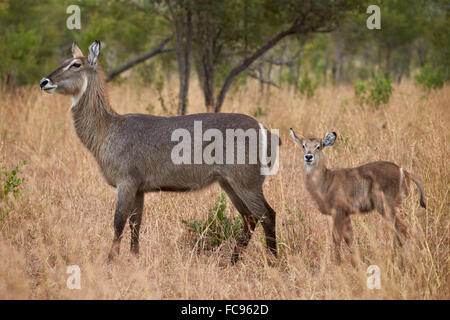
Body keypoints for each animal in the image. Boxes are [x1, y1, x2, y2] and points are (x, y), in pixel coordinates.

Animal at [40, 41, 280, 264]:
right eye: (64, 61)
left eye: (76, 64)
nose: (44, 82)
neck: (108, 129)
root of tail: (264, 129)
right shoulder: (139, 189)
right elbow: (136, 223)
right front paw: (135, 258)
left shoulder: (126, 183)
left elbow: (118, 222)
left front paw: (110, 260)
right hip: (229, 183)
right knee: (250, 219)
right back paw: (232, 262)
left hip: (246, 183)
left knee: (267, 215)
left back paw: (273, 261)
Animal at [288, 128, 426, 264]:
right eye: (303, 145)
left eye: (319, 146)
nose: (308, 156)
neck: (325, 181)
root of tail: (404, 172)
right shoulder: (346, 214)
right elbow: (349, 238)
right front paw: (356, 262)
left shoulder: (338, 211)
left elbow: (336, 238)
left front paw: (338, 263)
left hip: (386, 207)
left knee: (402, 229)